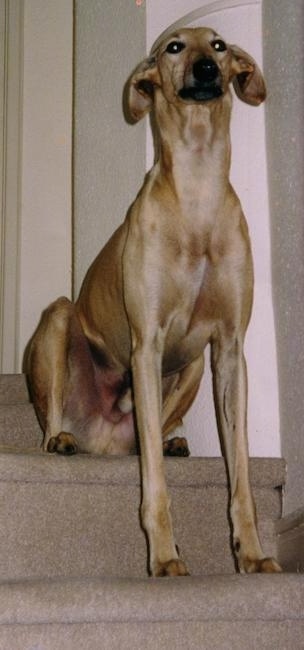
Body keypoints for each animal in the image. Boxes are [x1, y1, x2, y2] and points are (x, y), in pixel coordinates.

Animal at [27, 27, 282, 576]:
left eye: (220, 45)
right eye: (174, 47)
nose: (207, 69)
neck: (198, 193)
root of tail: (105, 440)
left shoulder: (229, 350)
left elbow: (241, 478)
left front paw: (251, 554)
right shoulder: (147, 345)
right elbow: (157, 486)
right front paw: (164, 557)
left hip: (191, 366)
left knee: (157, 431)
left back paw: (175, 439)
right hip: (59, 317)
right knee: (51, 416)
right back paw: (60, 439)